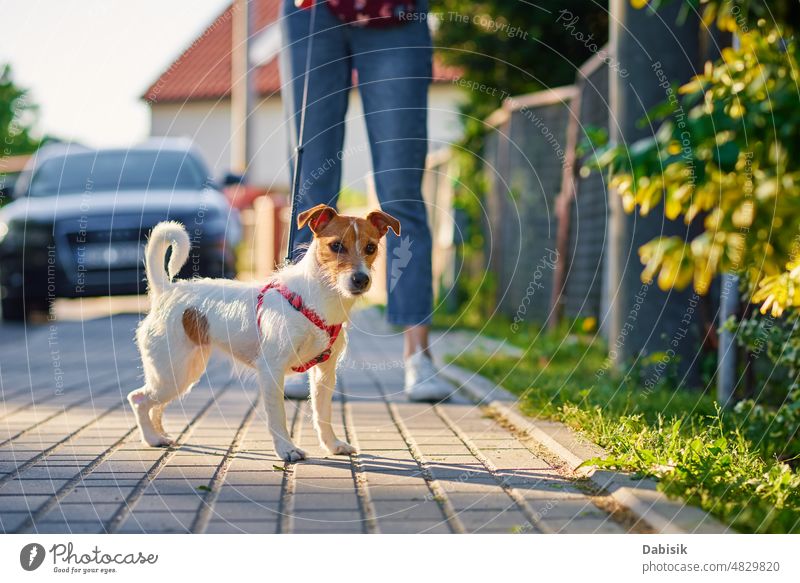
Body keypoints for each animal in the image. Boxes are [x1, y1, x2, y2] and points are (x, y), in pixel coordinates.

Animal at [130, 204, 400, 460]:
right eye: (336, 246)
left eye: (370, 247)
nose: (361, 279)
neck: (316, 300)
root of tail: (167, 291)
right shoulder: (272, 370)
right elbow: (278, 416)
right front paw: (287, 449)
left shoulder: (324, 373)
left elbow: (323, 414)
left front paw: (332, 445)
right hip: (173, 373)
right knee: (139, 399)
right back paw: (151, 438)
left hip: (183, 372)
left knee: (155, 405)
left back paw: (160, 434)